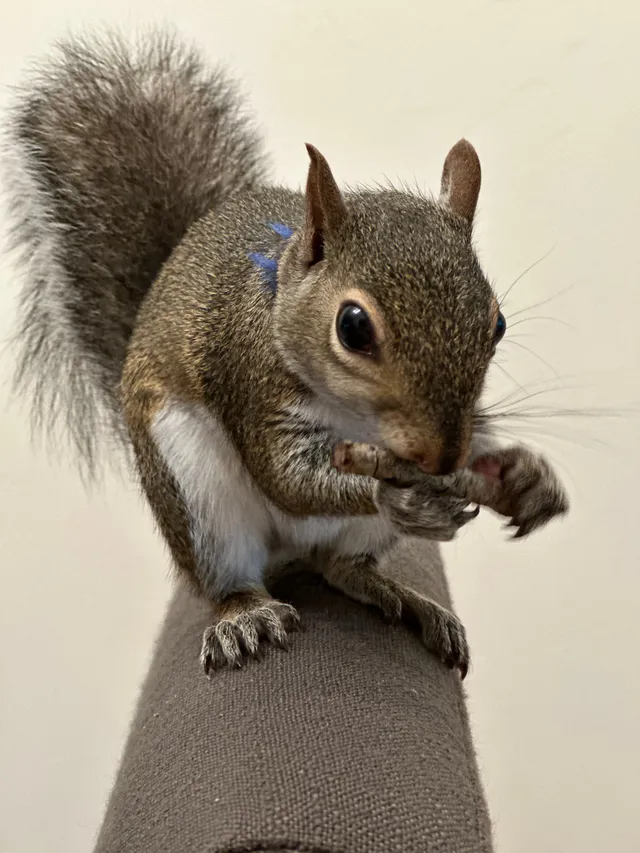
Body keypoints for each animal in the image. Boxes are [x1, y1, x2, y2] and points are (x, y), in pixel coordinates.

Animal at [4, 30, 568, 679]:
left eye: (496, 323)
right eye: (352, 327)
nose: (441, 456)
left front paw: (527, 476)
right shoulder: (249, 377)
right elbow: (287, 478)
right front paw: (395, 493)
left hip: (353, 537)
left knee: (340, 567)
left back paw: (406, 598)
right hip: (196, 496)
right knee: (232, 576)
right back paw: (245, 615)